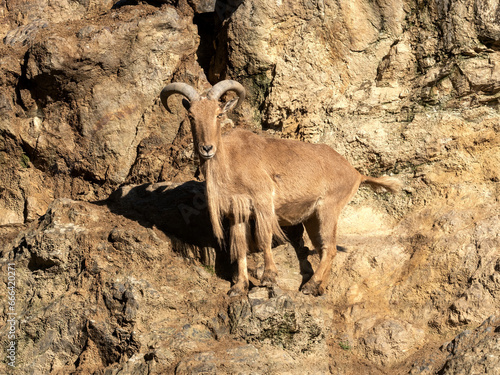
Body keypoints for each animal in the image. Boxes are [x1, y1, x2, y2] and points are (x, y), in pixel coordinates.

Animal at [161, 80, 402, 296]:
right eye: (191, 117)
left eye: (218, 114)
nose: (207, 148)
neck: (231, 159)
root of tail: (356, 173)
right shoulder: (236, 212)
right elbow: (240, 247)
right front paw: (239, 287)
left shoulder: (263, 201)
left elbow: (264, 237)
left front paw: (269, 277)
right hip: (312, 218)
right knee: (324, 249)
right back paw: (320, 287)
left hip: (329, 209)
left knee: (330, 248)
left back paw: (310, 286)